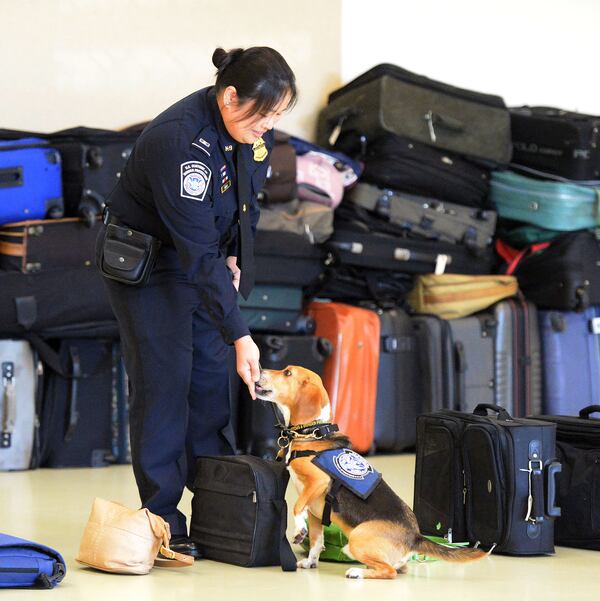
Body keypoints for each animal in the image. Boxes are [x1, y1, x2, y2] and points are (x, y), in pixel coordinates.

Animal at [254, 364, 488, 580]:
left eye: (287, 373)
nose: (260, 369)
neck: (312, 433)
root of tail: (414, 537)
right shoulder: (315, 511)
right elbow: (316, 540)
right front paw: (310, 560)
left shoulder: (317, 482)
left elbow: (296, 507)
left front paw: (298, 531)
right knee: (397, 569)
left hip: (356, 539)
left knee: (389, 572)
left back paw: (357, 572)